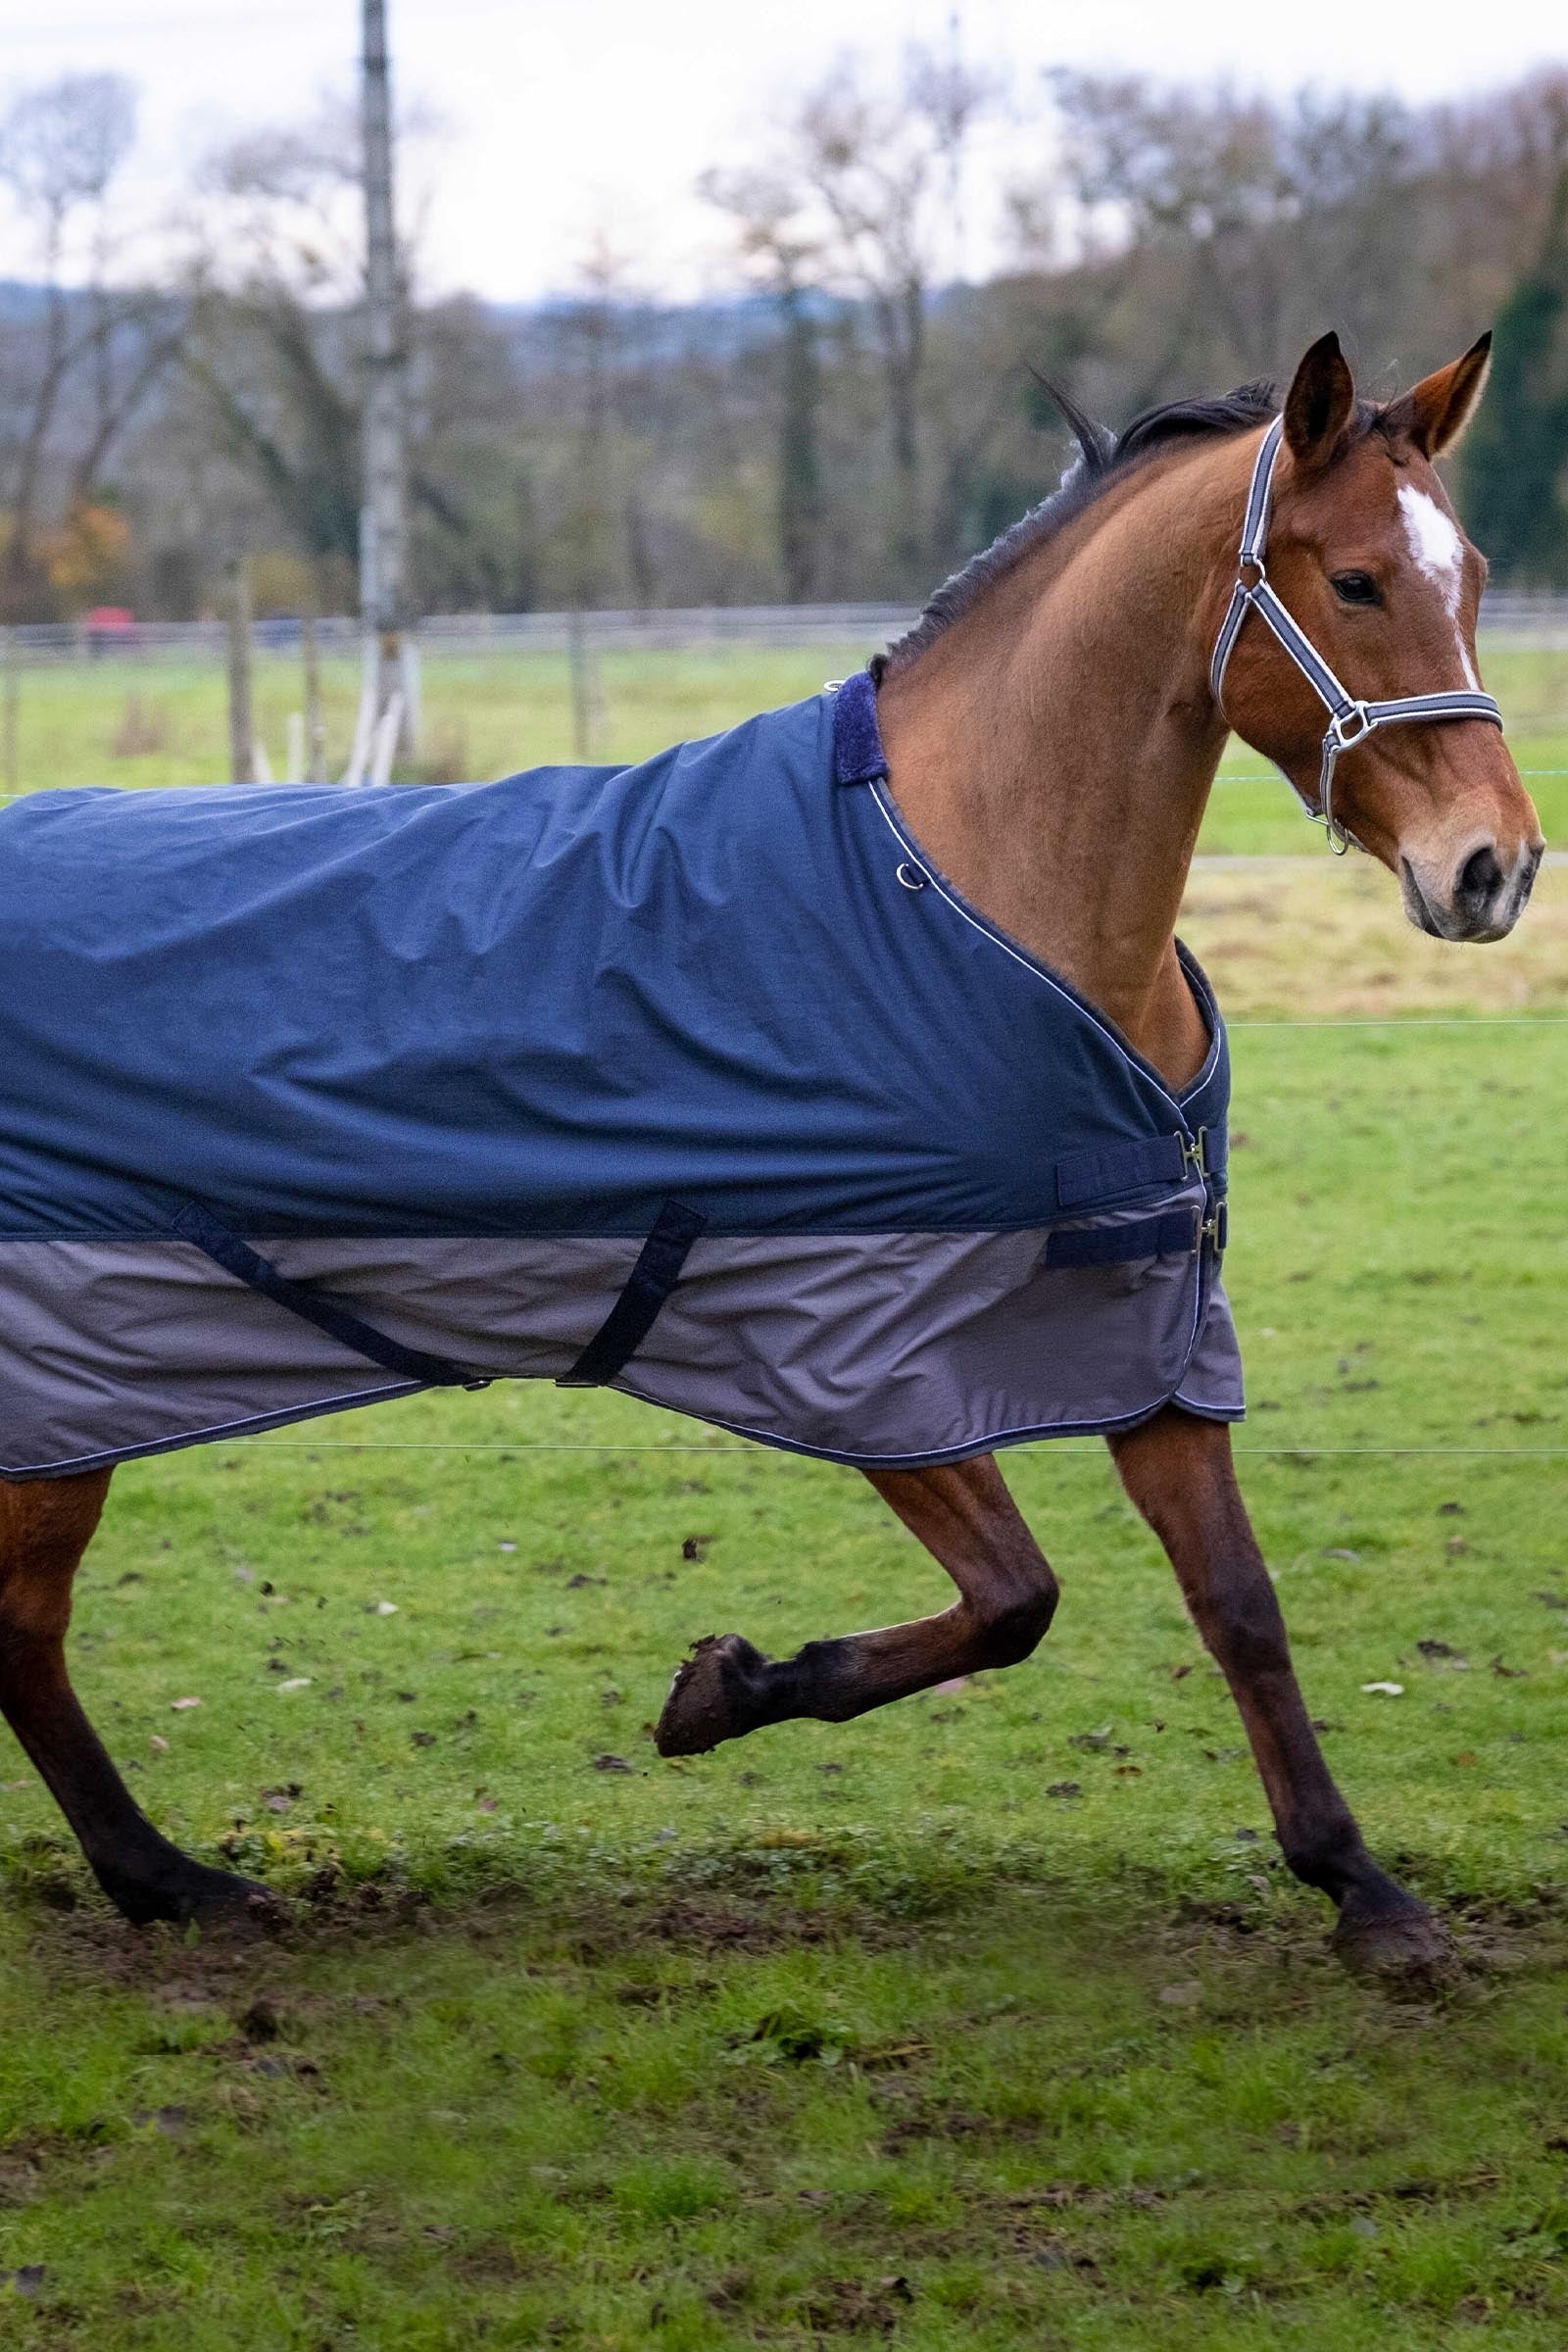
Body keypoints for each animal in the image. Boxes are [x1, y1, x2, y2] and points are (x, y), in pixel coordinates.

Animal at [0, 330, 1542, 1973]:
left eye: (1472, 571)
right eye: (1358, 580)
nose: (1494, 868)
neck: (967, 891)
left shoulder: (1148, 1322)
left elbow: (1239, 1601)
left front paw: (1363, 1888)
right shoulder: (844, 1345)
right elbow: (1017, 1598)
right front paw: (721, 1691)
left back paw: (158, 1876)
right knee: (22, 1628)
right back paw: (169, 1877)